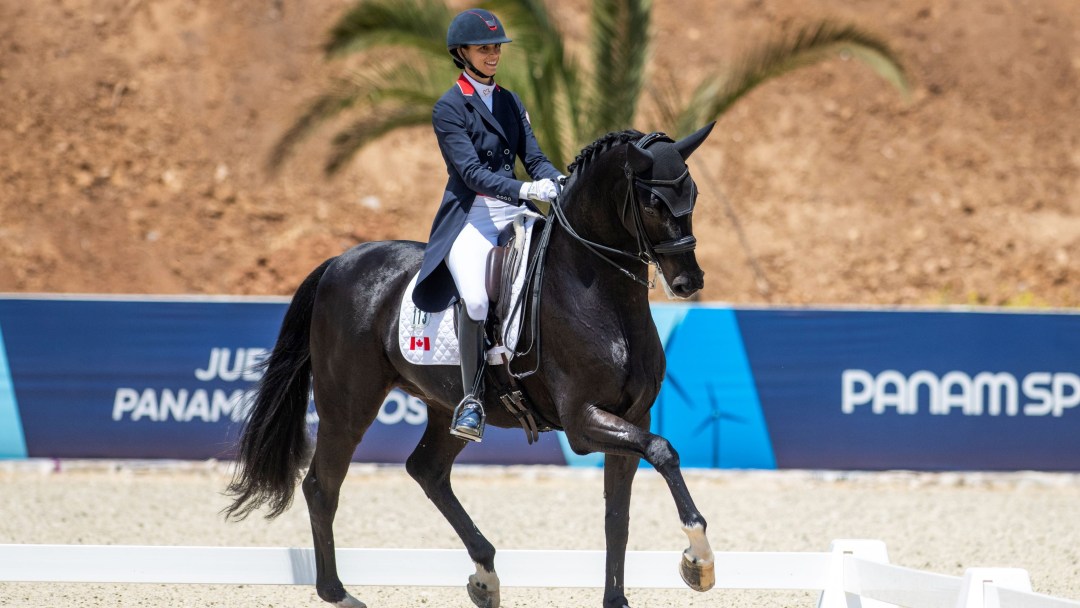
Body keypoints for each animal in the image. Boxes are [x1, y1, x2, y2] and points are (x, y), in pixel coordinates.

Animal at [223, 123, 717, 608]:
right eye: (653, 202)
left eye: (693, 193)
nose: (688, 282)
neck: (598, 295)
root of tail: (340, 262)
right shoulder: (582, 423)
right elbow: (663, 451)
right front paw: (699, 559)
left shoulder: (633, 416)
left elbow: (618, 516)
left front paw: (620, 598)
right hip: (348, 407)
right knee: (322, 486)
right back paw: (337, 593)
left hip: (444, 407)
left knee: (427, 471)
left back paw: (485, 576)